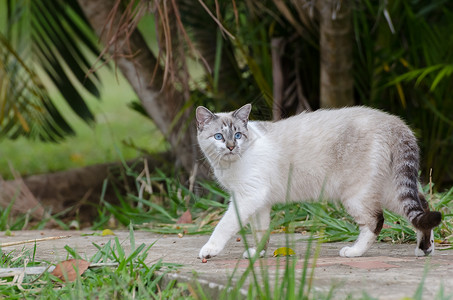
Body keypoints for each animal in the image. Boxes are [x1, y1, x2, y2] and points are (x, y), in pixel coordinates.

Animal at [195, 103, 442, 258]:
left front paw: (209, 250)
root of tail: (395, 123)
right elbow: (261, 232)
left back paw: (353, 252)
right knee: (422, 208)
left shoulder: (247, 197)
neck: (228, 165)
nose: (230, 147)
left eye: (237, 135)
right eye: (219, 137)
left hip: (356, 194)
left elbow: (224, 225)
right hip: (391, 189)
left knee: (376, 221)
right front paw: (258, 254)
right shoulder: (258, 203)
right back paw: (425, 249)